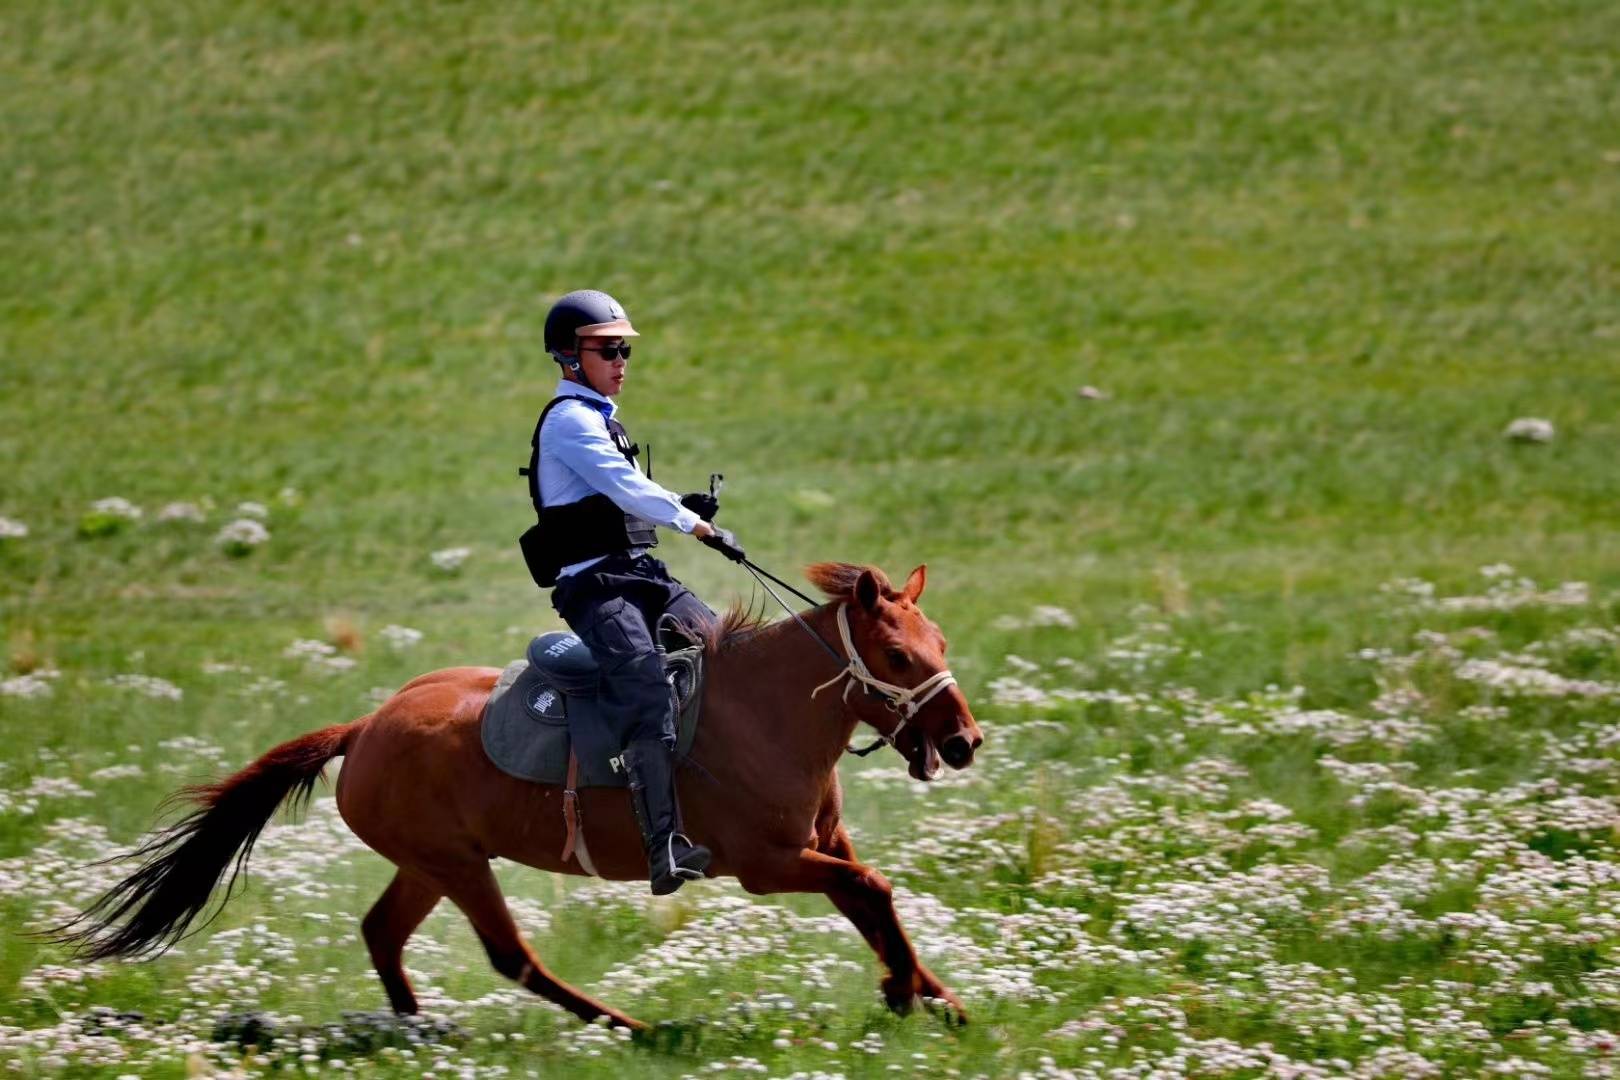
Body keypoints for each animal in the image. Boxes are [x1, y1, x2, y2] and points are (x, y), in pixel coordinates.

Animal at [50, 566, 978, 1029]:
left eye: (939, 640)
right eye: (898, 655)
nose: (965, 741)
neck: (763, 713)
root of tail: (364, 726)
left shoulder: (821, 847)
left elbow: (871, 902)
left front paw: (939, 997)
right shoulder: (768, 864)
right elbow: (873, 892)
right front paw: (907, 994)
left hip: (431, 866)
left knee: (382, 933)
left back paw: (418, 1032)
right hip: (459, 866)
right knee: (512, 957)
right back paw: (629, 1029)